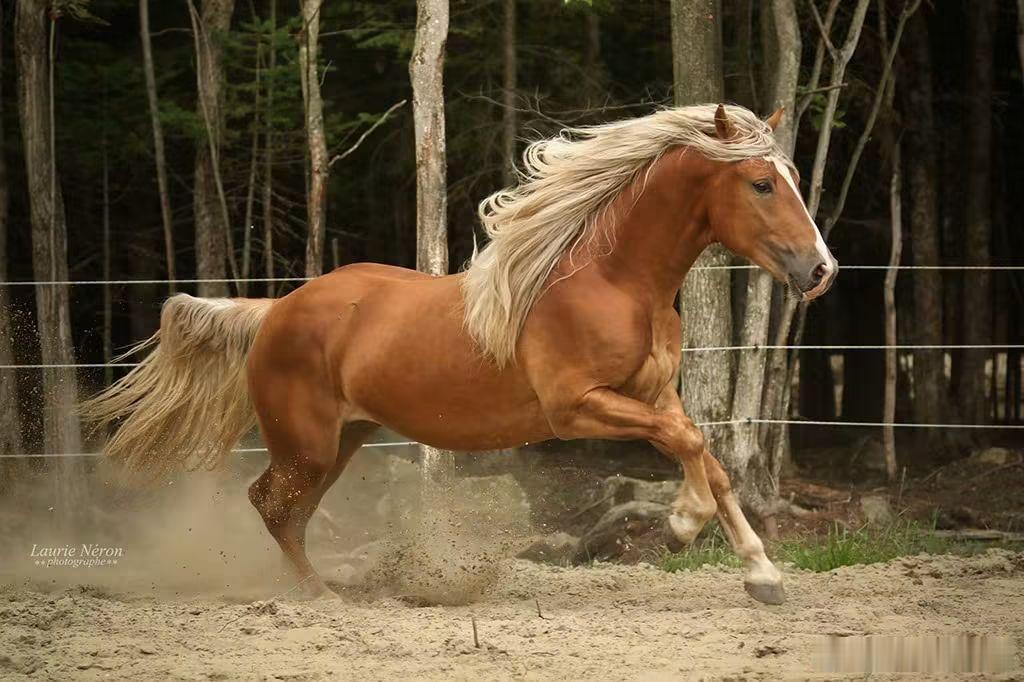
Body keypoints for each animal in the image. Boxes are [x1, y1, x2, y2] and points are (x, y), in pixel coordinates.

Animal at [82, 104, 836, 605]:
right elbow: (691, 444)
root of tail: (274, 311)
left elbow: (710, 459)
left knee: (284, 510)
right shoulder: (577, 409)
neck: (611, 279)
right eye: (761, 184)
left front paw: (762, 575)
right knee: (268, 503)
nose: (821, 270)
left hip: (342, 441)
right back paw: (319, 596)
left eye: (792, 177)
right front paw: (681, 527)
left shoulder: (655, 395)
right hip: (307, 447)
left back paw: (325, 587)